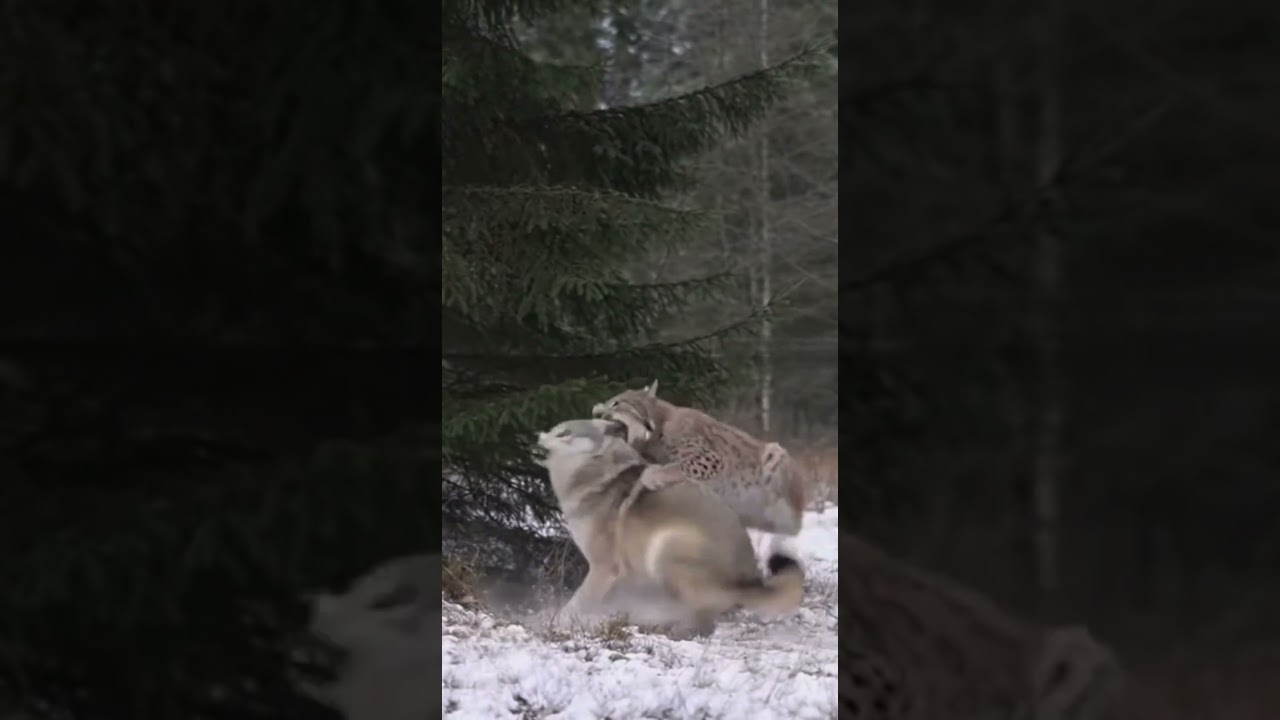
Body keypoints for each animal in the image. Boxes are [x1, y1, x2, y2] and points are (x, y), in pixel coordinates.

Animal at [535, 417, 804, 636]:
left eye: (565, 433)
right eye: (556, 430)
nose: (537, 441)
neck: (596, 471)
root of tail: (750, 581)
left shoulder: (604, 568)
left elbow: (576, 603)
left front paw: (555, 622)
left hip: (666, 548)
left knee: (702, 619)